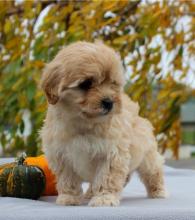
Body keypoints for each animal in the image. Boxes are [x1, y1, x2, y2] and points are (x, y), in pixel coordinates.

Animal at [40, 41, 167, 206]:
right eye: (86, 83)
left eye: (112, 83)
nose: (109, 102)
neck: (83, 122)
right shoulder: (61, 154)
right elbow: (68, 179)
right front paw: (69, 198)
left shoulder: (112, 153)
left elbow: (106, 177)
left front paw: (104, 198)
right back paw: (89, 194)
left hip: (147, 155)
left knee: (154, 170)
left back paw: (158, 191)